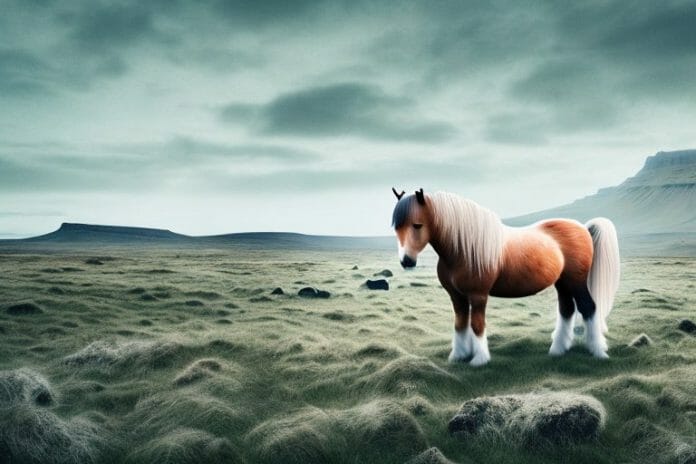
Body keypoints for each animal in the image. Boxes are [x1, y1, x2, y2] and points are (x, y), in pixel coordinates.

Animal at [391, 188, 620, 367]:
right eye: (396, 228)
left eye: (417, 225)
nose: (406, 261)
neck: (462, 249)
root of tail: (583, 228)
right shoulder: (456, 296)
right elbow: (460, 323)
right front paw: (458, 356)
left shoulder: (478, 295)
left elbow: (477, 325)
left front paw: (479, 360)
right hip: (562, 283)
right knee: (566, 309)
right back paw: (557, 350)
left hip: (576, 281)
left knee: (588, 307)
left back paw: (598, 352)